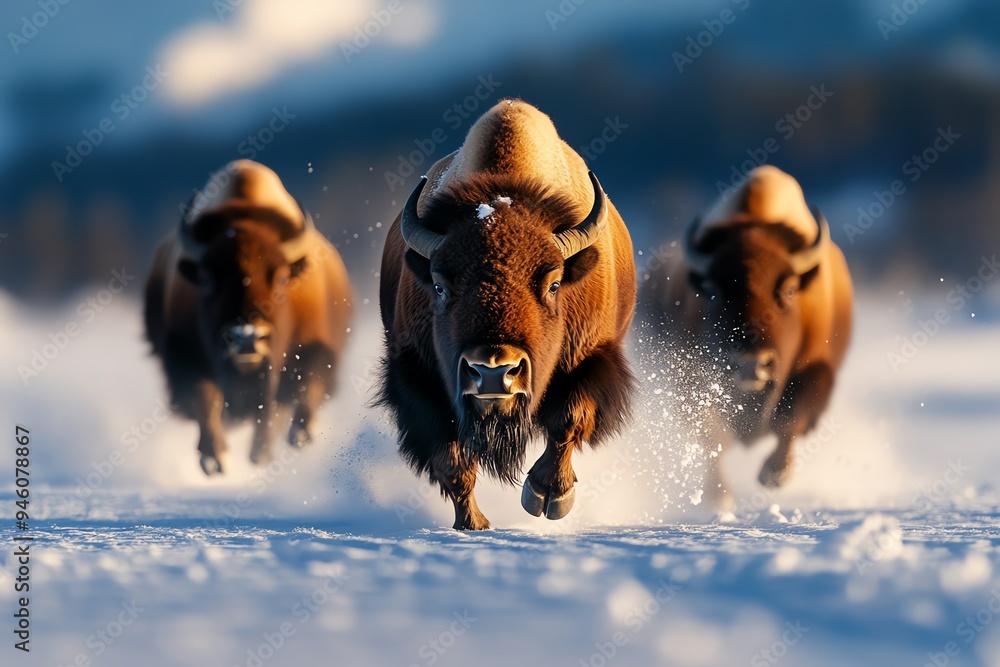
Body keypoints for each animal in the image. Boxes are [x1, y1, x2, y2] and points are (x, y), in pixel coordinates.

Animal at [144, 160, 351, 474]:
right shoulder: (185, 357)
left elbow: (301, 388)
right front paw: (214, 458)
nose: (246, 338)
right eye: (207, 280)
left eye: (281, 277)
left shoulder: (312, 348)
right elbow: (205, 398)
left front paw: (298, 436)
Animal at [378, 99, 637, 530]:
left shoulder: (592, 356)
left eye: (553, 284)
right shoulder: (417, 375)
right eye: (440, 286)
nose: (493, 371)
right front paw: (474, 524)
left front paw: (548, 496)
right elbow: (451, 461)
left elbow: (568, 419)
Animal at [643, 165, 852, 507]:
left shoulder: (817, 372)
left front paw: (774, 475)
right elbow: (713, 439)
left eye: (789, 290)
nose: (751, 364)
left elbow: (790, 418)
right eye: (712, 291)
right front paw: (719, 499)